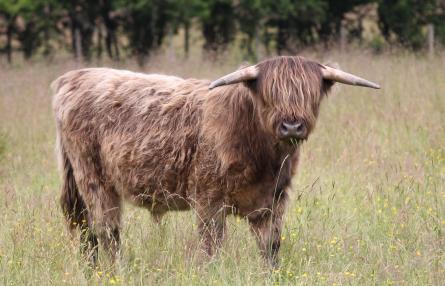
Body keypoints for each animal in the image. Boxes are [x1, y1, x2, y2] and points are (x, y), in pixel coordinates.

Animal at [51, 56, 378, 268]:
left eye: (309, 94)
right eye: (270, 94)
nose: (292, 126)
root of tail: (72, 78)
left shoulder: (274, 199)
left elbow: (271, 247)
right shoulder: (208, 199)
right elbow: (212, 246)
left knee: (86, 230)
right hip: (94, 179)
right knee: (106, 231)